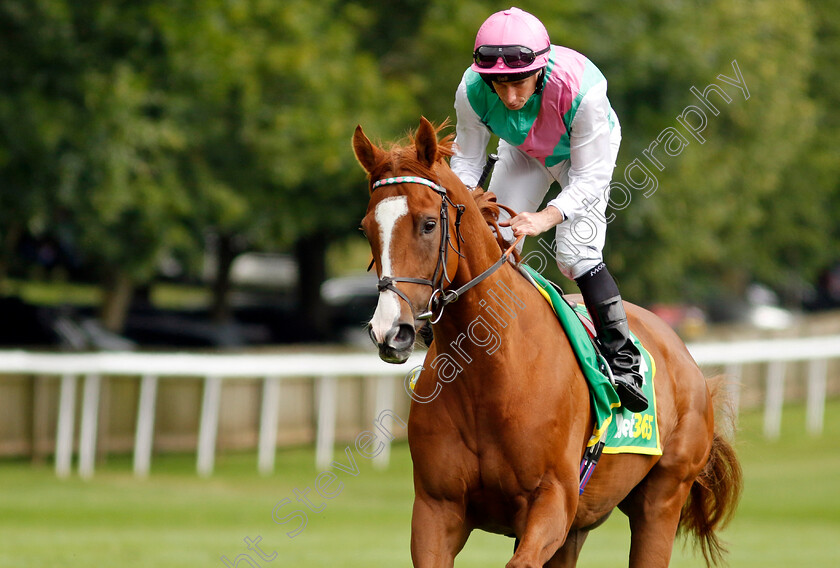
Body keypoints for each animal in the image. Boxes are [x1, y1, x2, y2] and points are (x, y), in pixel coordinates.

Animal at [354, 116, 740, 568]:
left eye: (428, 223)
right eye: (366, 228)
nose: (389, 330)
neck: (491, 375)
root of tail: (685, 358)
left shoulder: (553, 500)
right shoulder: (437, 507)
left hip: (662, 497)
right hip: (580, 527)